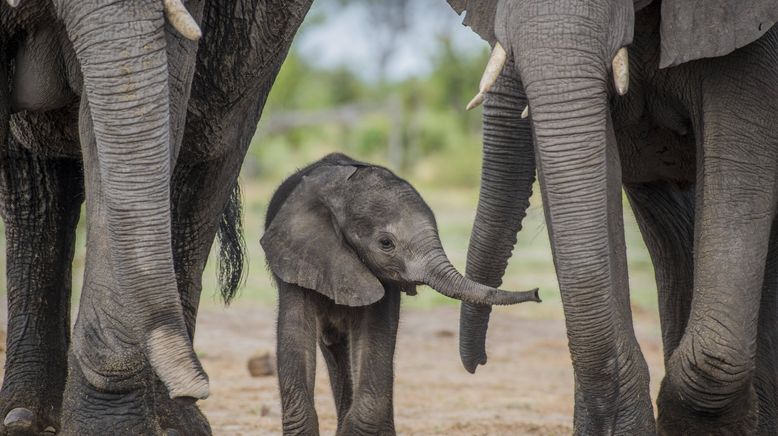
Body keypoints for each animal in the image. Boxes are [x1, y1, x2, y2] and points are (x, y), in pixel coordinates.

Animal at [2, 1, 312, 434]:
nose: (197, 384)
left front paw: (108, 427)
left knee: (202, 161)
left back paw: (174, 421)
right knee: (33, 185)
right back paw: (22, 417)